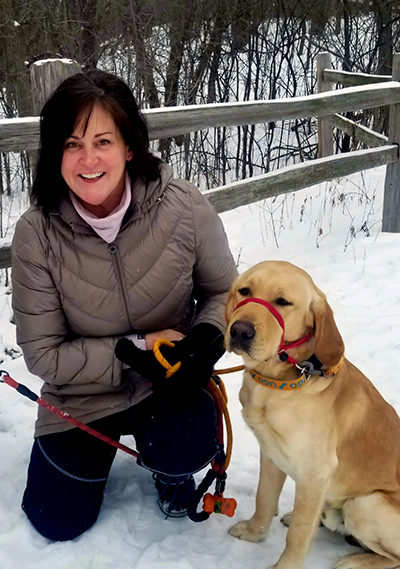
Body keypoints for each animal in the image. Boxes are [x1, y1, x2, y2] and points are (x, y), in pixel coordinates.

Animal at [227, 260, 400, 568]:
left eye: (283, 302)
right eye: (244, 291)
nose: (240, 331)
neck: (278, 384)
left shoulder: (315, 474)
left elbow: (297, 535)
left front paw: (284, 567)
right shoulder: (270, 454)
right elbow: (263, 499)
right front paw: (254, 532)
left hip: (365, 504)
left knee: (393, 557)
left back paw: (355, 561)